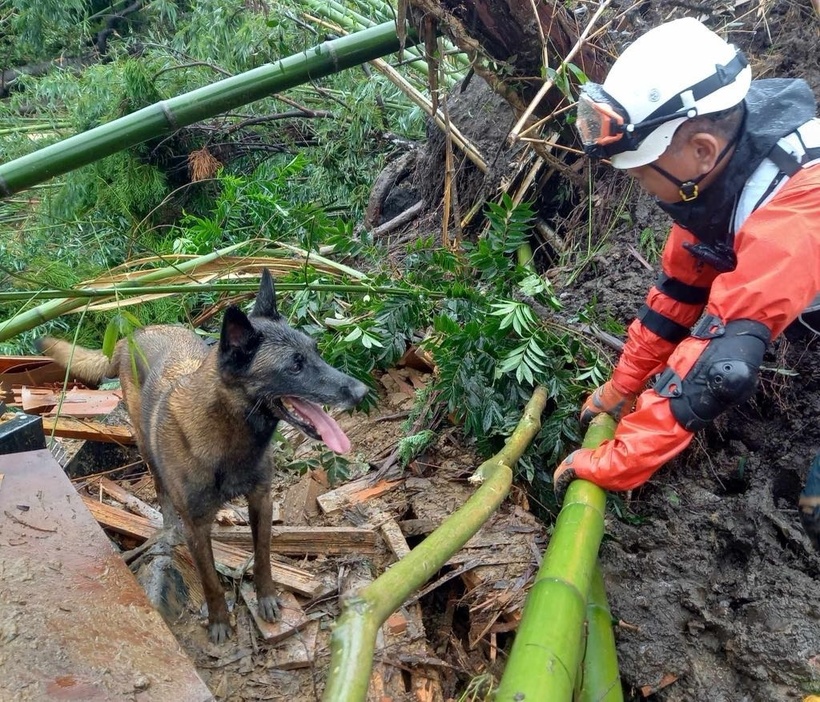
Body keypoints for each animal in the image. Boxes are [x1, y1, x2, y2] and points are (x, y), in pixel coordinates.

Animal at [36, 270, 366, 644]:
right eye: (294, 366)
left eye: (315, 352)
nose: (361, 392)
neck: (229, 438)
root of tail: (132, 334)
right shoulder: (197, 527)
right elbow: (209, 580)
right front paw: (220, 621)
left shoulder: (262, 502)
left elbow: (264, 557)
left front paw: (266, 597)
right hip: (146, 447)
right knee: (161, 487)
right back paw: (168, 526)